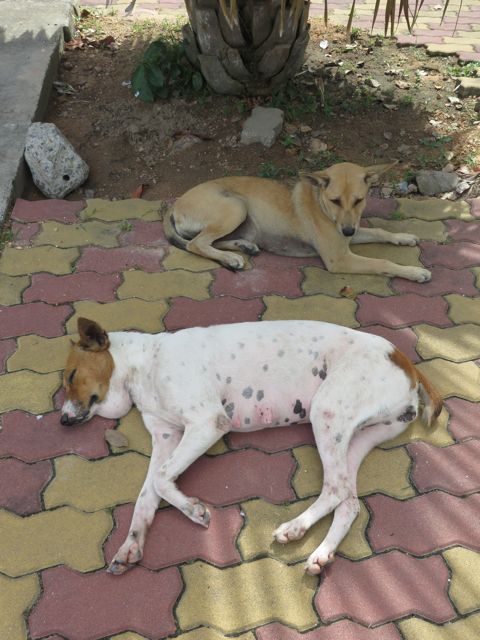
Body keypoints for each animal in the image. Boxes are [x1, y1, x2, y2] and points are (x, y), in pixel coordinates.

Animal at [61, 317, 442, 576]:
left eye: (70, 376)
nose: (63, 420)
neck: (146, 364)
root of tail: (405, 361)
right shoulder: (166, 436)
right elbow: (146, 495)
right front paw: (131, 543)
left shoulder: (207, 423)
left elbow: (160, 480)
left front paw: (193, 510)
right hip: (356, 437)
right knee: (348, 502)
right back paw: (318, 550)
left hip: (327, 412)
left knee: (335, 490)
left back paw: (294, 528)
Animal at [164, 162, 431, 283]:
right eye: (335, 200)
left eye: (359, 200)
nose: (346, 230)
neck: (321, 204)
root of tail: (174, 205)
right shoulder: (339, 258)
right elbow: (382, 262)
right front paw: (414, 271)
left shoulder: (350, 234)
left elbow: (379, 231)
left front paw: (403, 237)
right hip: (236, 207)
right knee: (196, 244)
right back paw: (231, 258)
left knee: (209, 241)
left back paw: (242, 248)